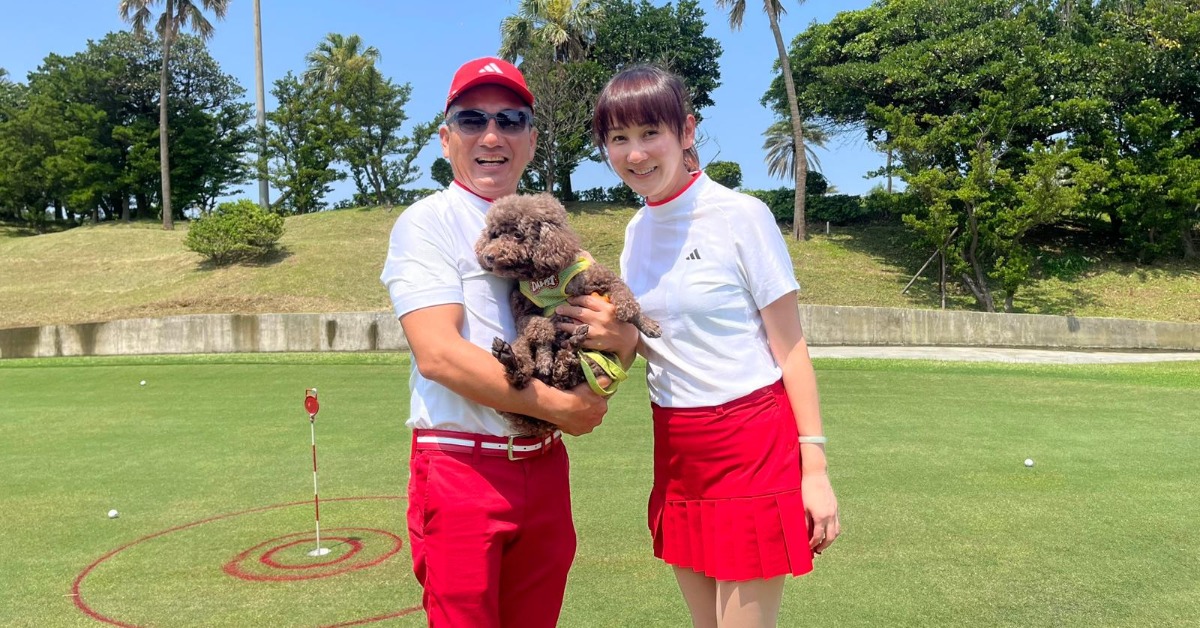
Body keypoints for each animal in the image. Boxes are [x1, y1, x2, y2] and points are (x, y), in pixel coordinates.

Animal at [475, 193, 661, 436]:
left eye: (517, 234)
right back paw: (517, 359)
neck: (542, 277)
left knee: (566, 377)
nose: (488, 256)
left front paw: (643, 321)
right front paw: (544, 356)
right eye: (495, 235)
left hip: (601, 362)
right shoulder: (523, 311)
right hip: (523, 346)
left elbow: (622, 292)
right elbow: (541, 328)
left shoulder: (596, 277)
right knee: (529, 377)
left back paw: (568, 352)